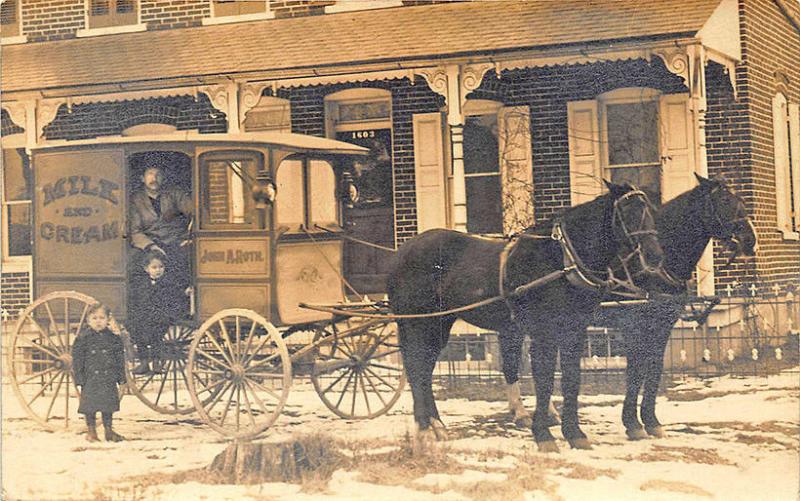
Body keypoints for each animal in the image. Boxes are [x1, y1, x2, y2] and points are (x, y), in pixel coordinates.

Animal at [386, 182, 664, 452]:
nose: (654, 256)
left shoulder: (574, 330)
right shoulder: (544, 332)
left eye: (650, 210)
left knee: (424, 370)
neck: (561, 260)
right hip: (418, 323)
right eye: (626, 212)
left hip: (439, 324)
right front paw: (543, 434)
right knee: (416, 368)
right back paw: (423, 430)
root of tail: (401, 251)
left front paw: (574, 434)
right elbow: (544, 380)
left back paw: (437, 426)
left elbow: (572, 379)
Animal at [500, 174, 756, 440]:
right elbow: (636, 371)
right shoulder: (634, 327)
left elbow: (654, 369)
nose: (751, 239)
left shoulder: (662, 327)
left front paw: (651, 421)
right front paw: (633, 423)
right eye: (724, 200)